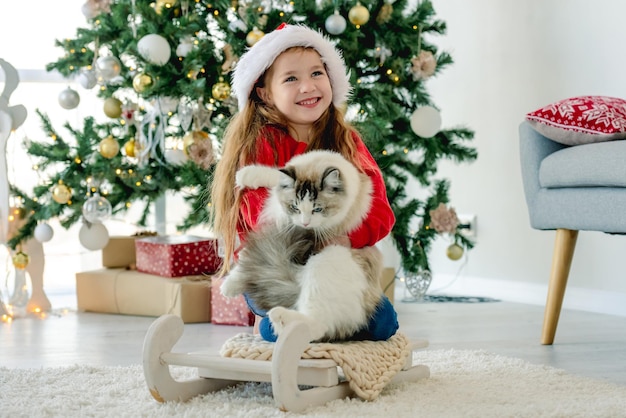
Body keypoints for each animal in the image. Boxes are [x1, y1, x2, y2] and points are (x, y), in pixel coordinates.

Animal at [219, 150, 386, 342]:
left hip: (324, 262)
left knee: (317, 325)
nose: (305, 223)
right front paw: (246, 174)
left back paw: (280, 318)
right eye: (295, 207)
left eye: (317, 209)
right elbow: (275, 174)